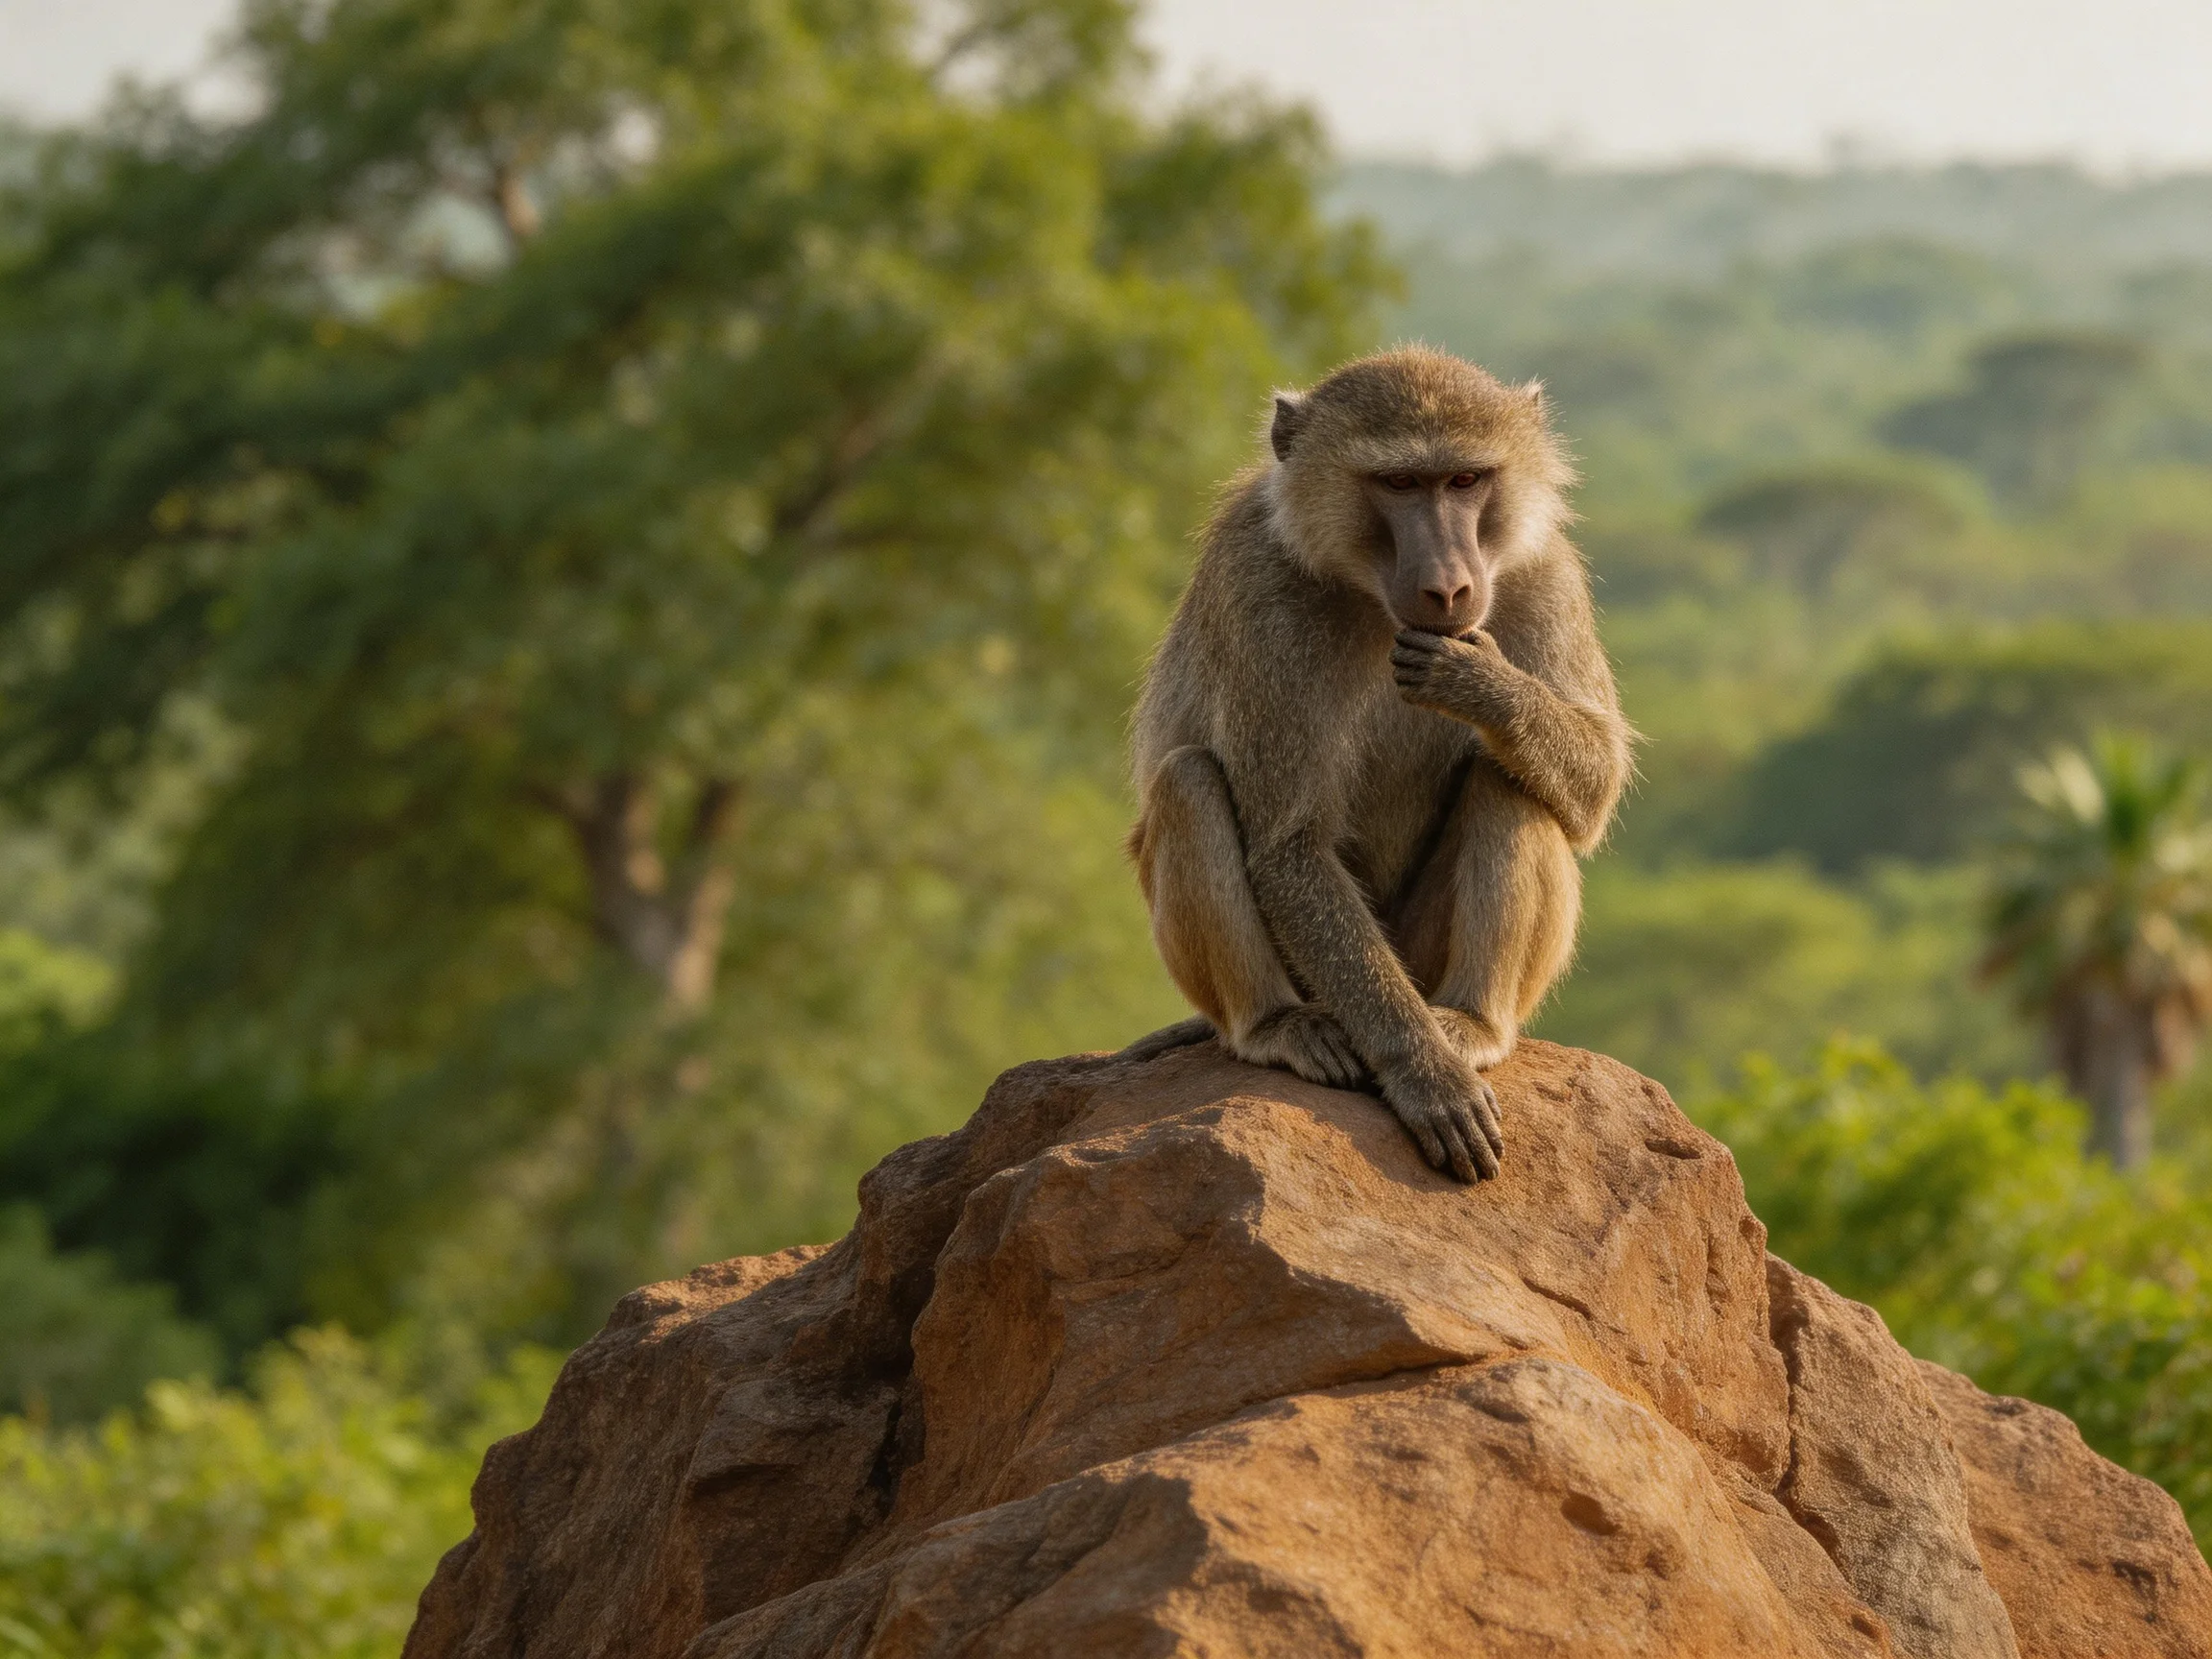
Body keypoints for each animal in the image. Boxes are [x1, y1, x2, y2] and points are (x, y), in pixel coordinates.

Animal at [1122, 347, 1632, 1183]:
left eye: (1464, 479)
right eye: (1398, 484)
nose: (1450, 588)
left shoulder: (1543, 569)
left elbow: (1593, 785)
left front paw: (1482, 683)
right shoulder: (1259, 588)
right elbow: (1290, 847)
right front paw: (1427, 1080)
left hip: (1422, 957)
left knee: (1511, 780)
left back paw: (1472, 1022)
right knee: (1189, 779)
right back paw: (1279, 1025)